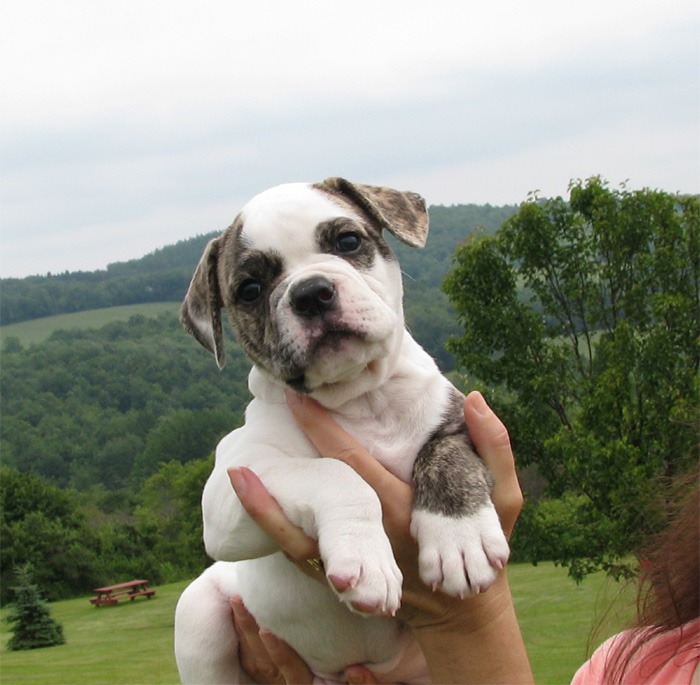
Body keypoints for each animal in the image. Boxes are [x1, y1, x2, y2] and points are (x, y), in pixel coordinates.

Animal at [172, 179, 506, 680]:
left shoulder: (460, 420)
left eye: (348, 242)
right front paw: (365, 559)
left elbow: (448, 457)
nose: (311, 292)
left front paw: (460, 539)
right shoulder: (232, 489)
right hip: (198, 614)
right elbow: (335, 473)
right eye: (250, 289)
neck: (362, 398)